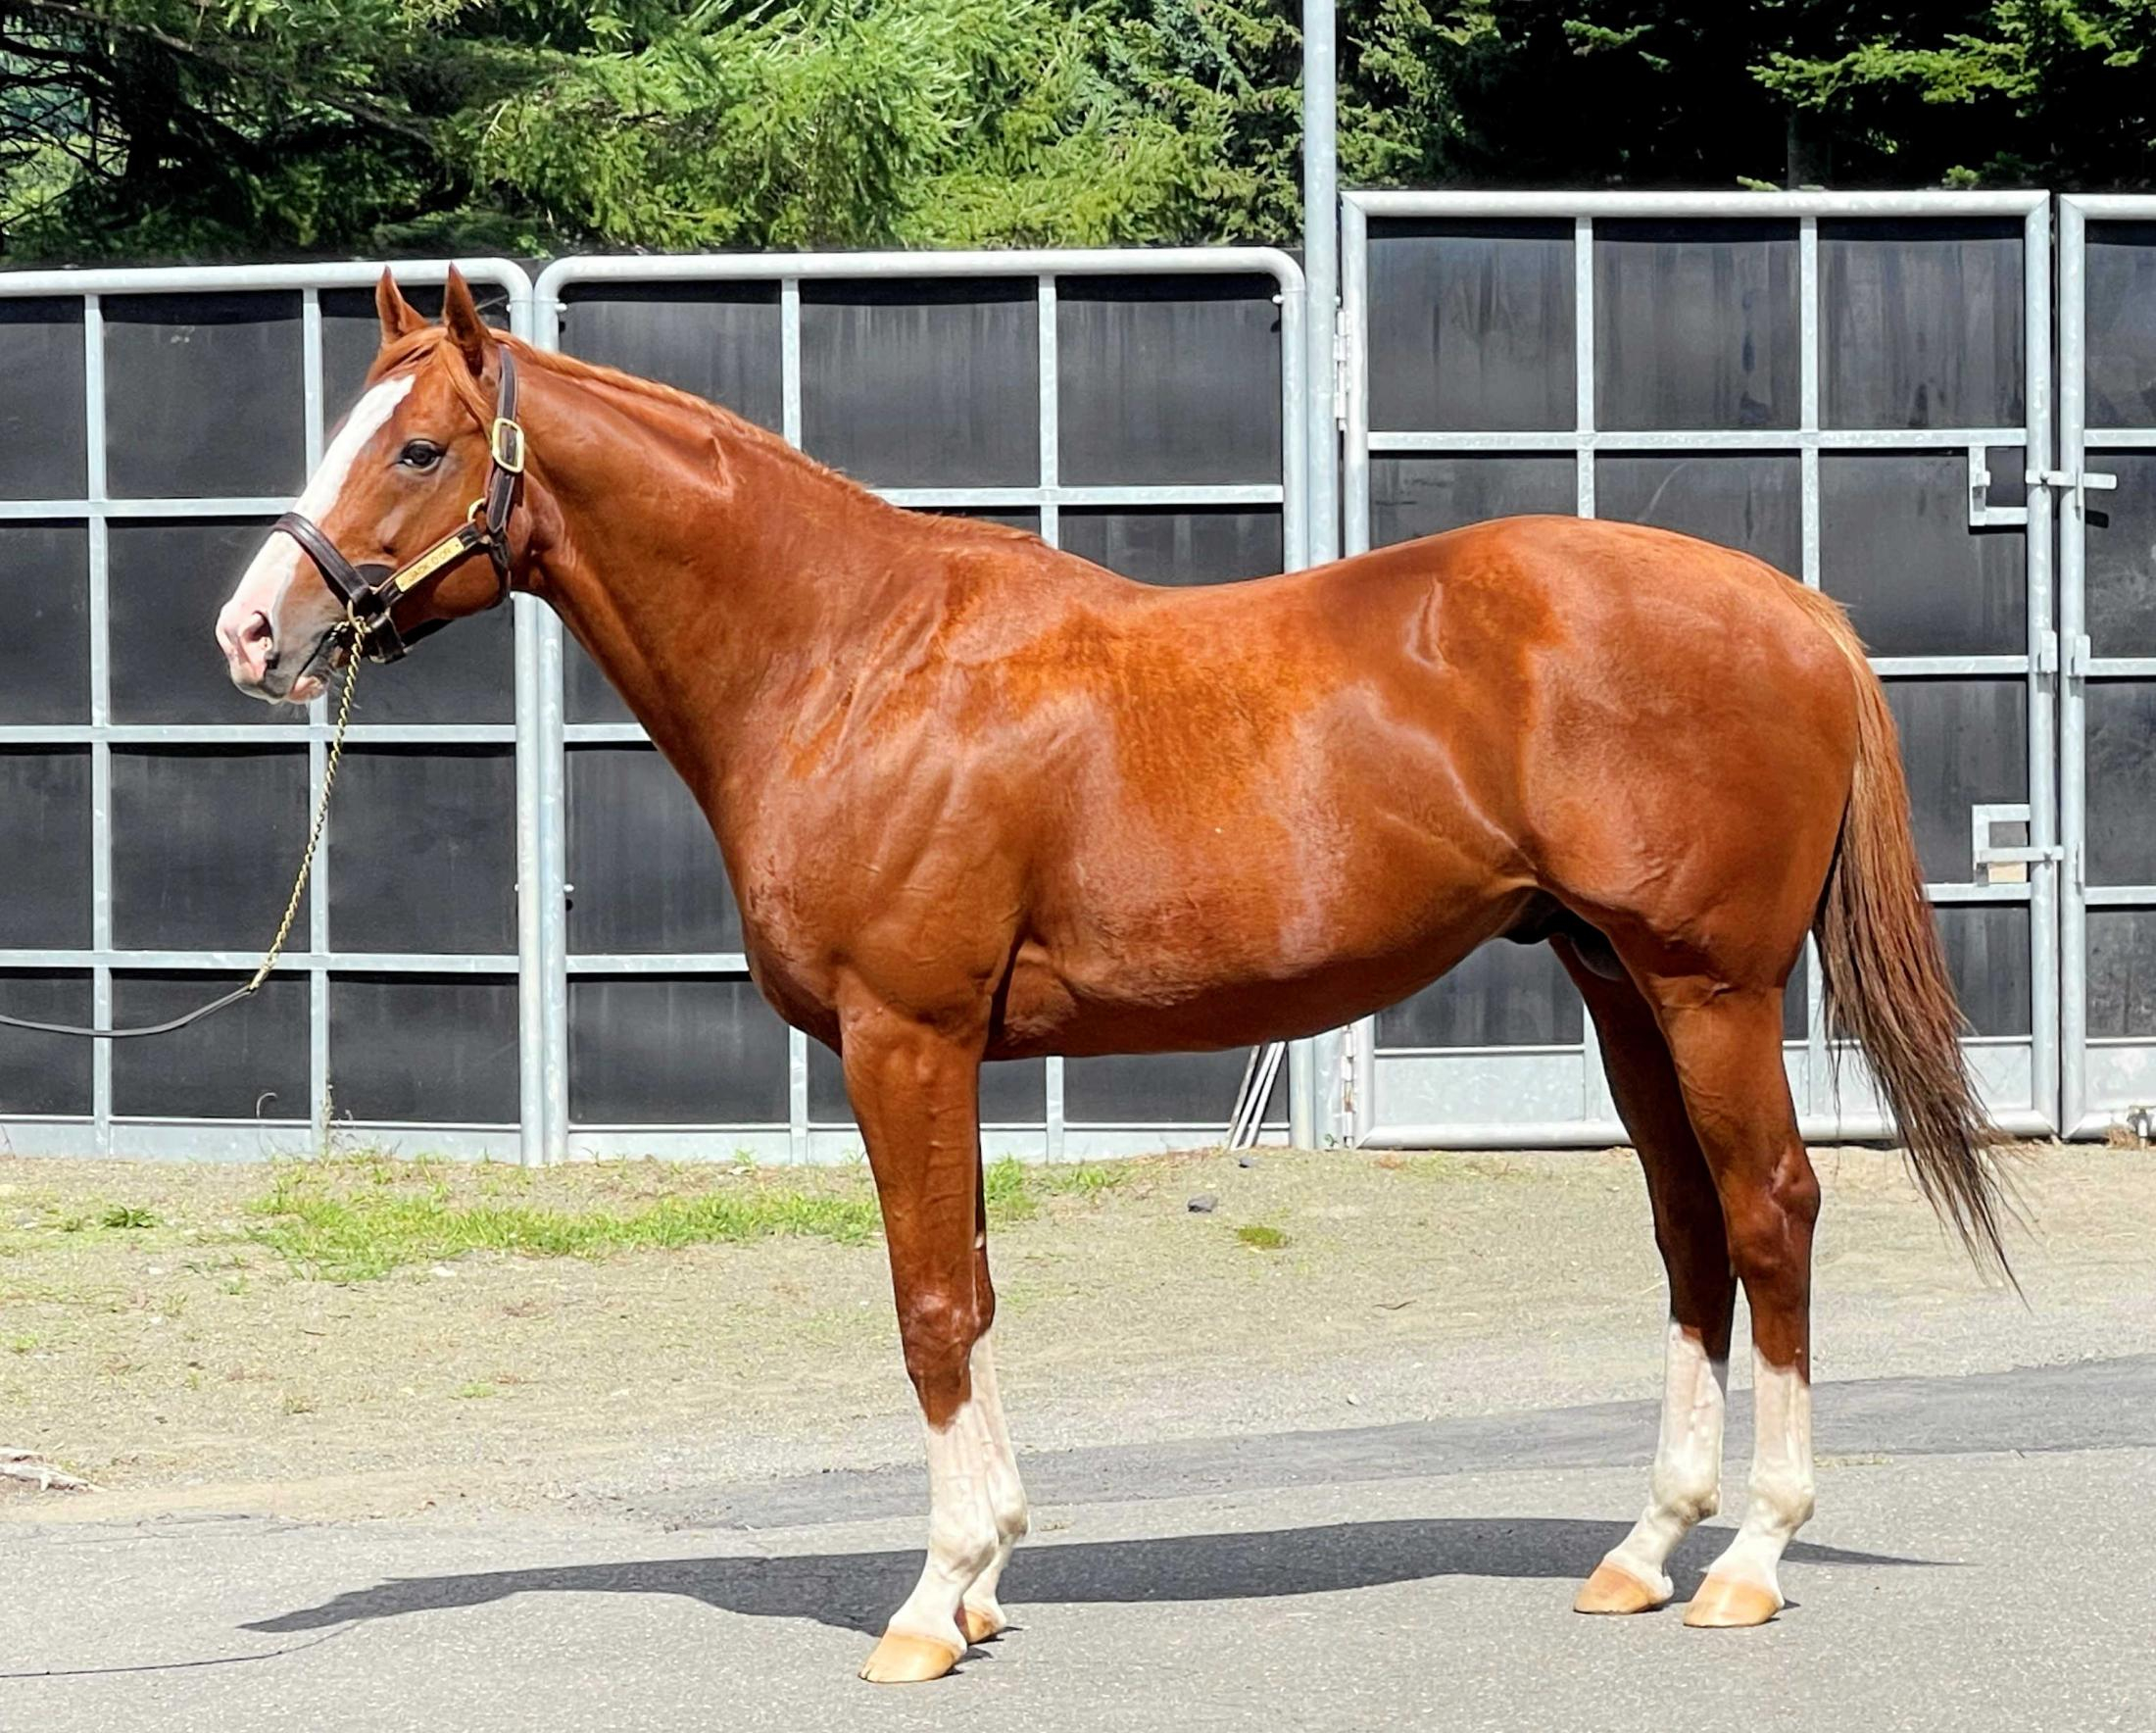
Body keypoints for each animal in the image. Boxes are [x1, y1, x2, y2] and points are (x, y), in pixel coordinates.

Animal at [214, 268, 2010, 1683]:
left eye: (419, 447)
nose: (251, 632)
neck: (849, 660)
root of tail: (1796, 610)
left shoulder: (903, 1037)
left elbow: (930, 1305)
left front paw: (932, 1604)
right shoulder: (940, 1052)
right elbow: (973, 1289)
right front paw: (987, 1575)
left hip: (1709, 991)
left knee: (1771, 1213)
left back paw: (1751, 1561)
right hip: (1617, 983)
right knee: (1691, 1230)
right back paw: (1644, 1550)